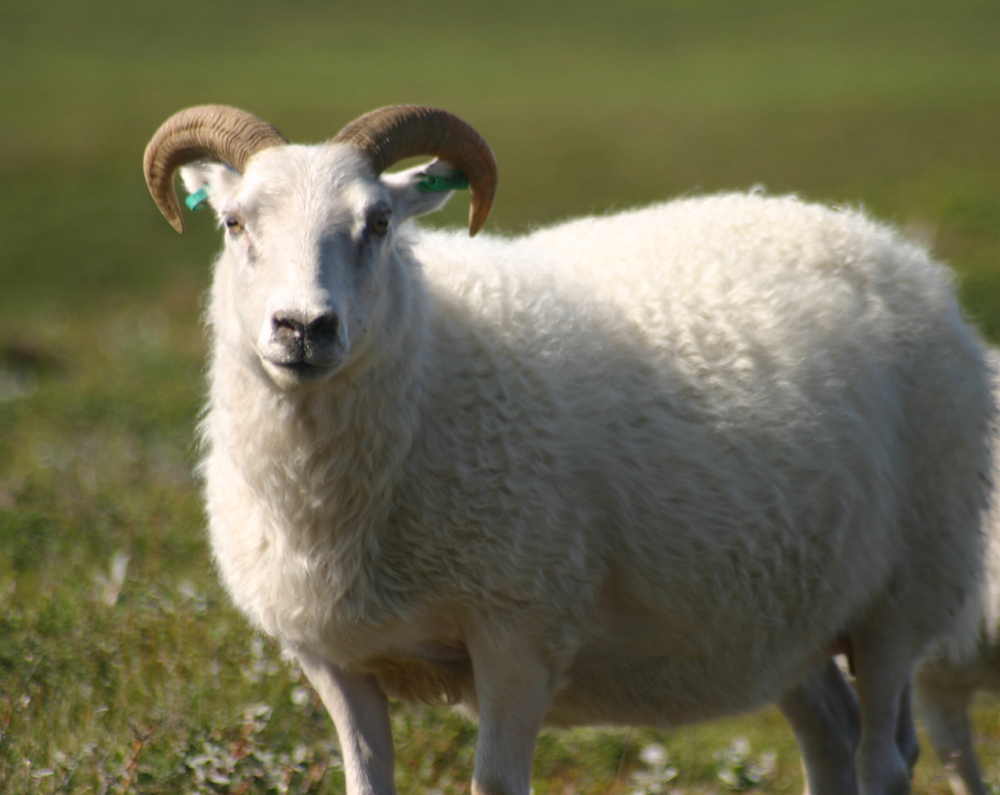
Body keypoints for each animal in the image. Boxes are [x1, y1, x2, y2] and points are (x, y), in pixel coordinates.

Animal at [143, 104, 995, 795]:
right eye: (234, 223)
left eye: (379, 221)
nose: (303, 328)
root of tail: (885, 242)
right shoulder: (336, 659)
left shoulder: (519, 630)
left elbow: (497, 783)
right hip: (788, 613)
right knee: (832, 734)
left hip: (901, 590)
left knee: (885, 758)